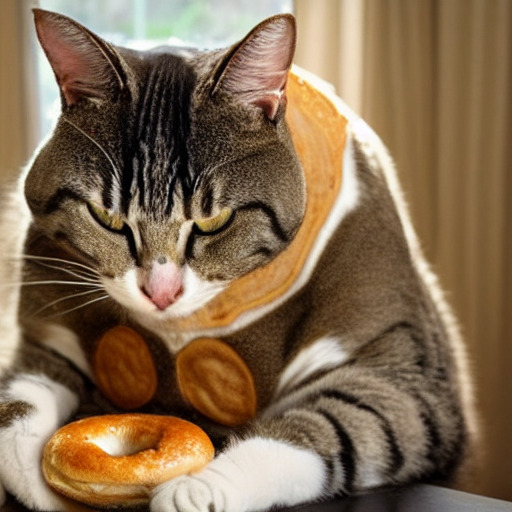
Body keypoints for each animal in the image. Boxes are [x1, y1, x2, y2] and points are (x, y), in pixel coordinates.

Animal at [0, 8, 476, 512]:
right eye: (107, 217)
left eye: (215, 221)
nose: (161, 293)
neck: (185, 331)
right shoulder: (45, 334)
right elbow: (17, 407)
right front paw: (46, 487)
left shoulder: (405, 373)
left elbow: (330, 426)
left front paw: (194, 488)